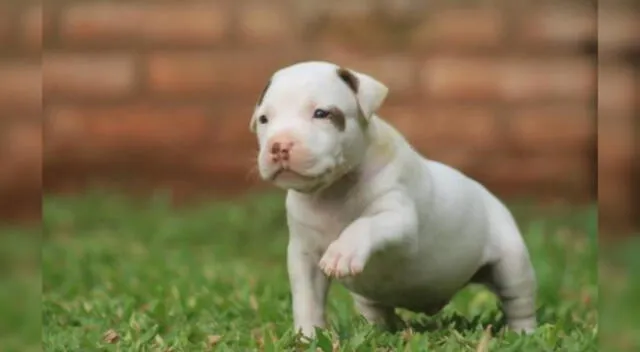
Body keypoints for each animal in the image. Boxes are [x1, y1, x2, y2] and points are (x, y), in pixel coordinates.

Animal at [249, 61, 536, 338]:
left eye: (321, 113)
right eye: (264, 119)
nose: (279, 145)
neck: (333, 191)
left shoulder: (398, 217)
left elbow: (365, 223)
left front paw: (343, 250)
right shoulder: (304, 255)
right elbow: (307, 300)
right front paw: (307, 337)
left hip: (512, 262)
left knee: (518, 301)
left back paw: (523, 333)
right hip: (369, 297)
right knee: (376, 310)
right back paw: (379, 330)